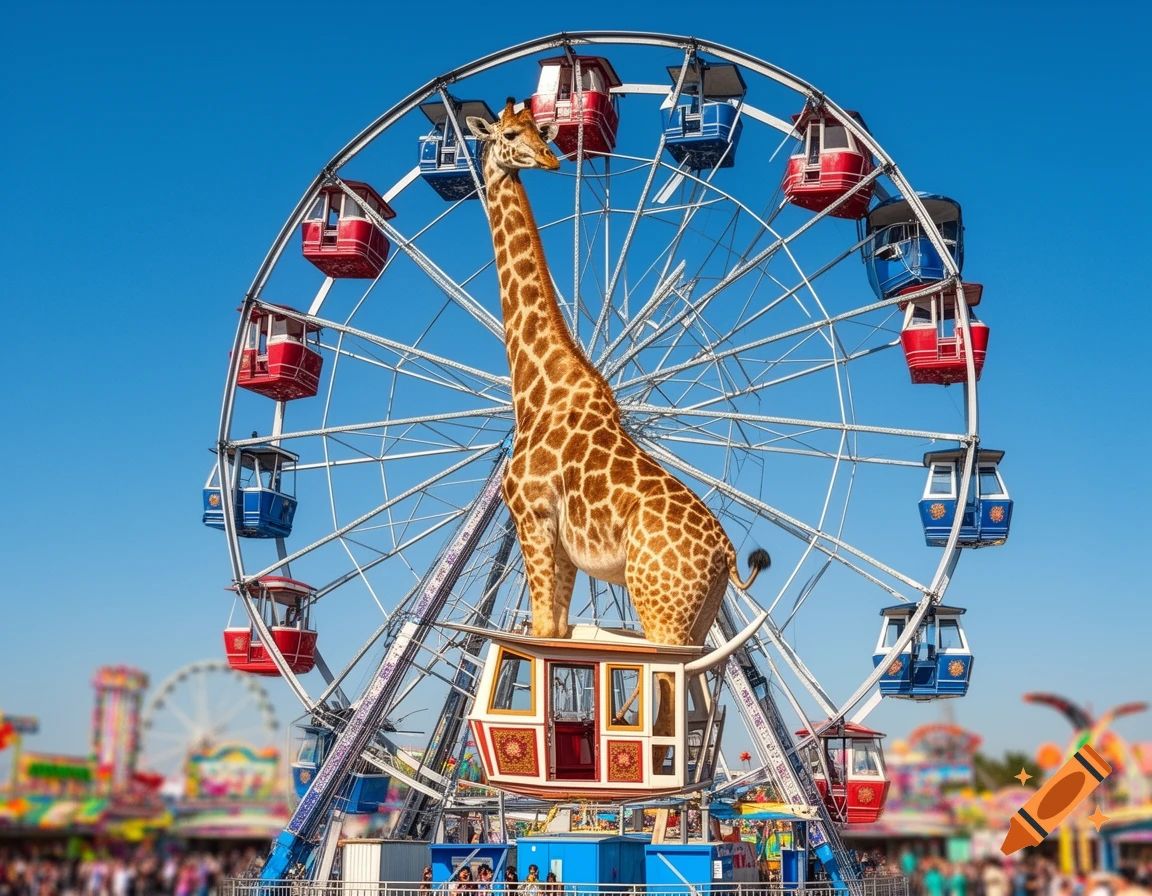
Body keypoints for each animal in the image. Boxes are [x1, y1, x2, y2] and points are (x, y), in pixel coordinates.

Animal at [467, 100, 770, 740]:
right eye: (513, 133)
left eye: (538, 131)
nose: (551, 158)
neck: (535, 385)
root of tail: (728, 555)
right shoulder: (556, 543)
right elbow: (552, 637)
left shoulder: (532, 520)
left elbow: (544, 636)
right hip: (695, 617)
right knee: (697, 701)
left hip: (662, 612)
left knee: (677, 703)